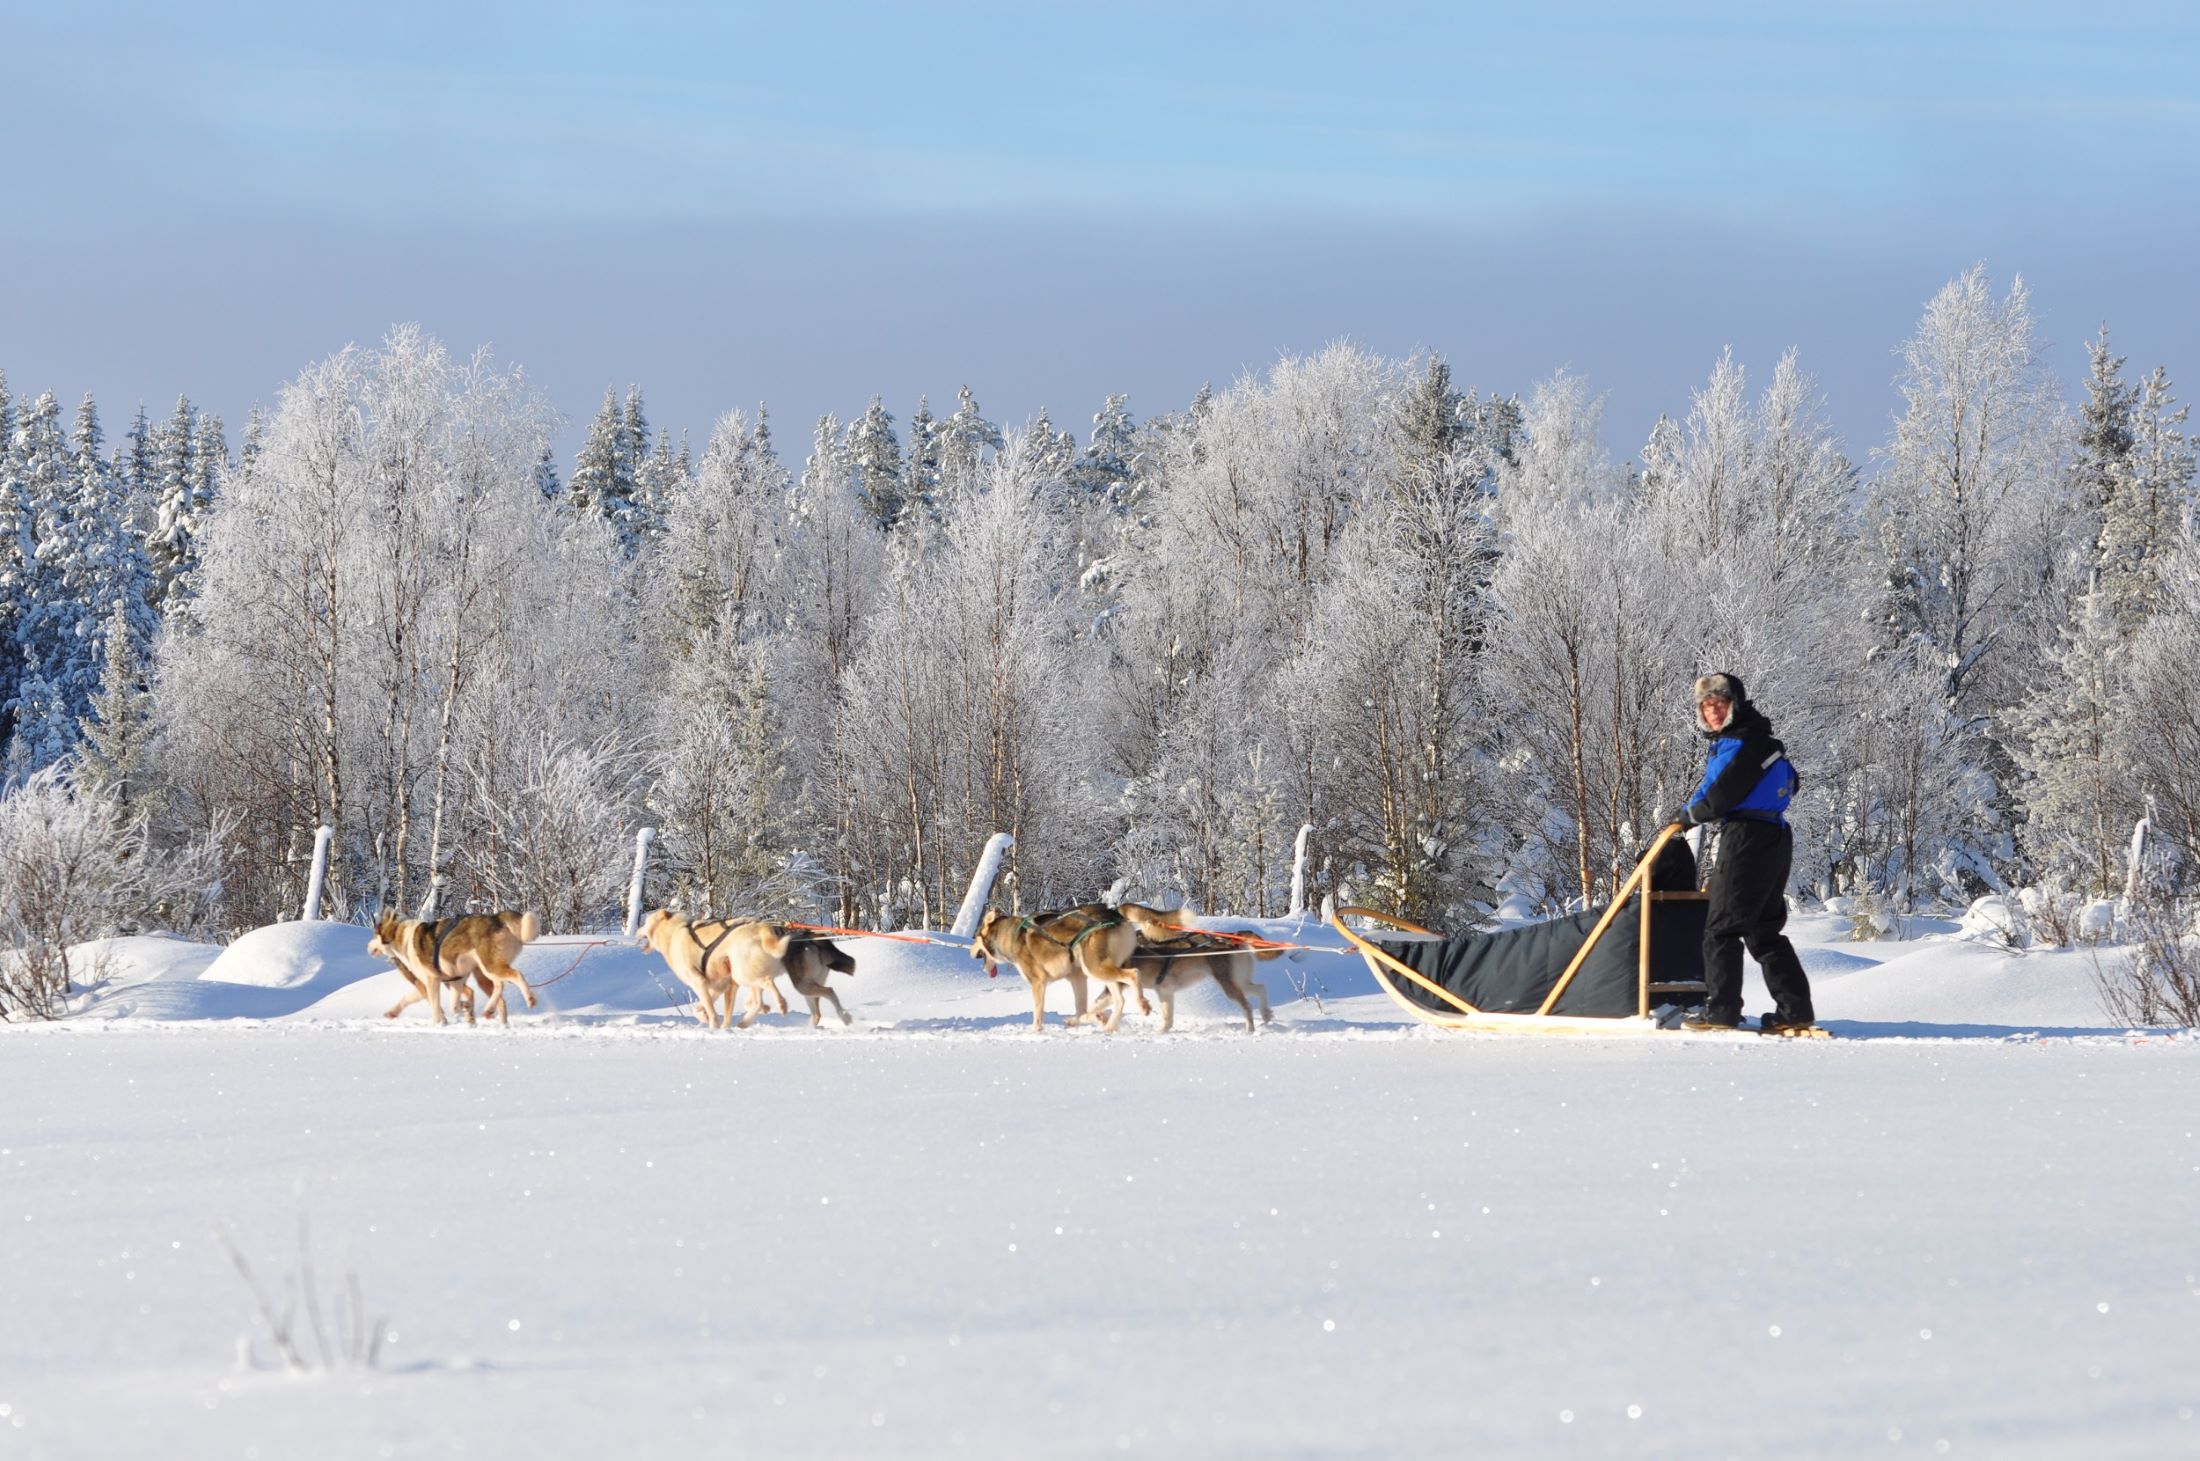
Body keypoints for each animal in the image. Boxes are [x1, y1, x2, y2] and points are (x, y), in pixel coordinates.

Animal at [369, 915, 541, 1025]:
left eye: (374, 935)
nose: (368, 947)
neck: (403, 939)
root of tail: (497, 917)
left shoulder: (432, 981)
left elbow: (437, 1006)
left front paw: (438, 1024)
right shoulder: (450, 980)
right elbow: (411, 998)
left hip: (490, 966)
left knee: (516, 975)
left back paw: (529, 999)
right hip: (485, 973)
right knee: (500, 988)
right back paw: (493, 1014)